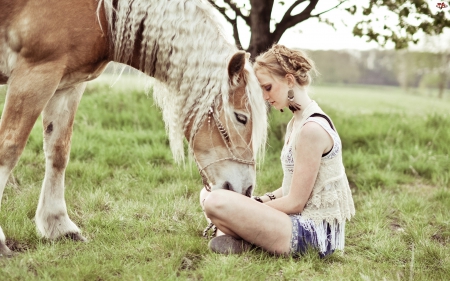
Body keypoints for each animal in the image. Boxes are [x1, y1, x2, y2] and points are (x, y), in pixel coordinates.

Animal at [0, 0, 268, 254]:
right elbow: (9, 149)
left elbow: (58, 153)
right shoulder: (35, 74)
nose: (246, 190)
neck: (101, 15)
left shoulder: (67, 85)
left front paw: (59, 226)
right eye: (241, 118)